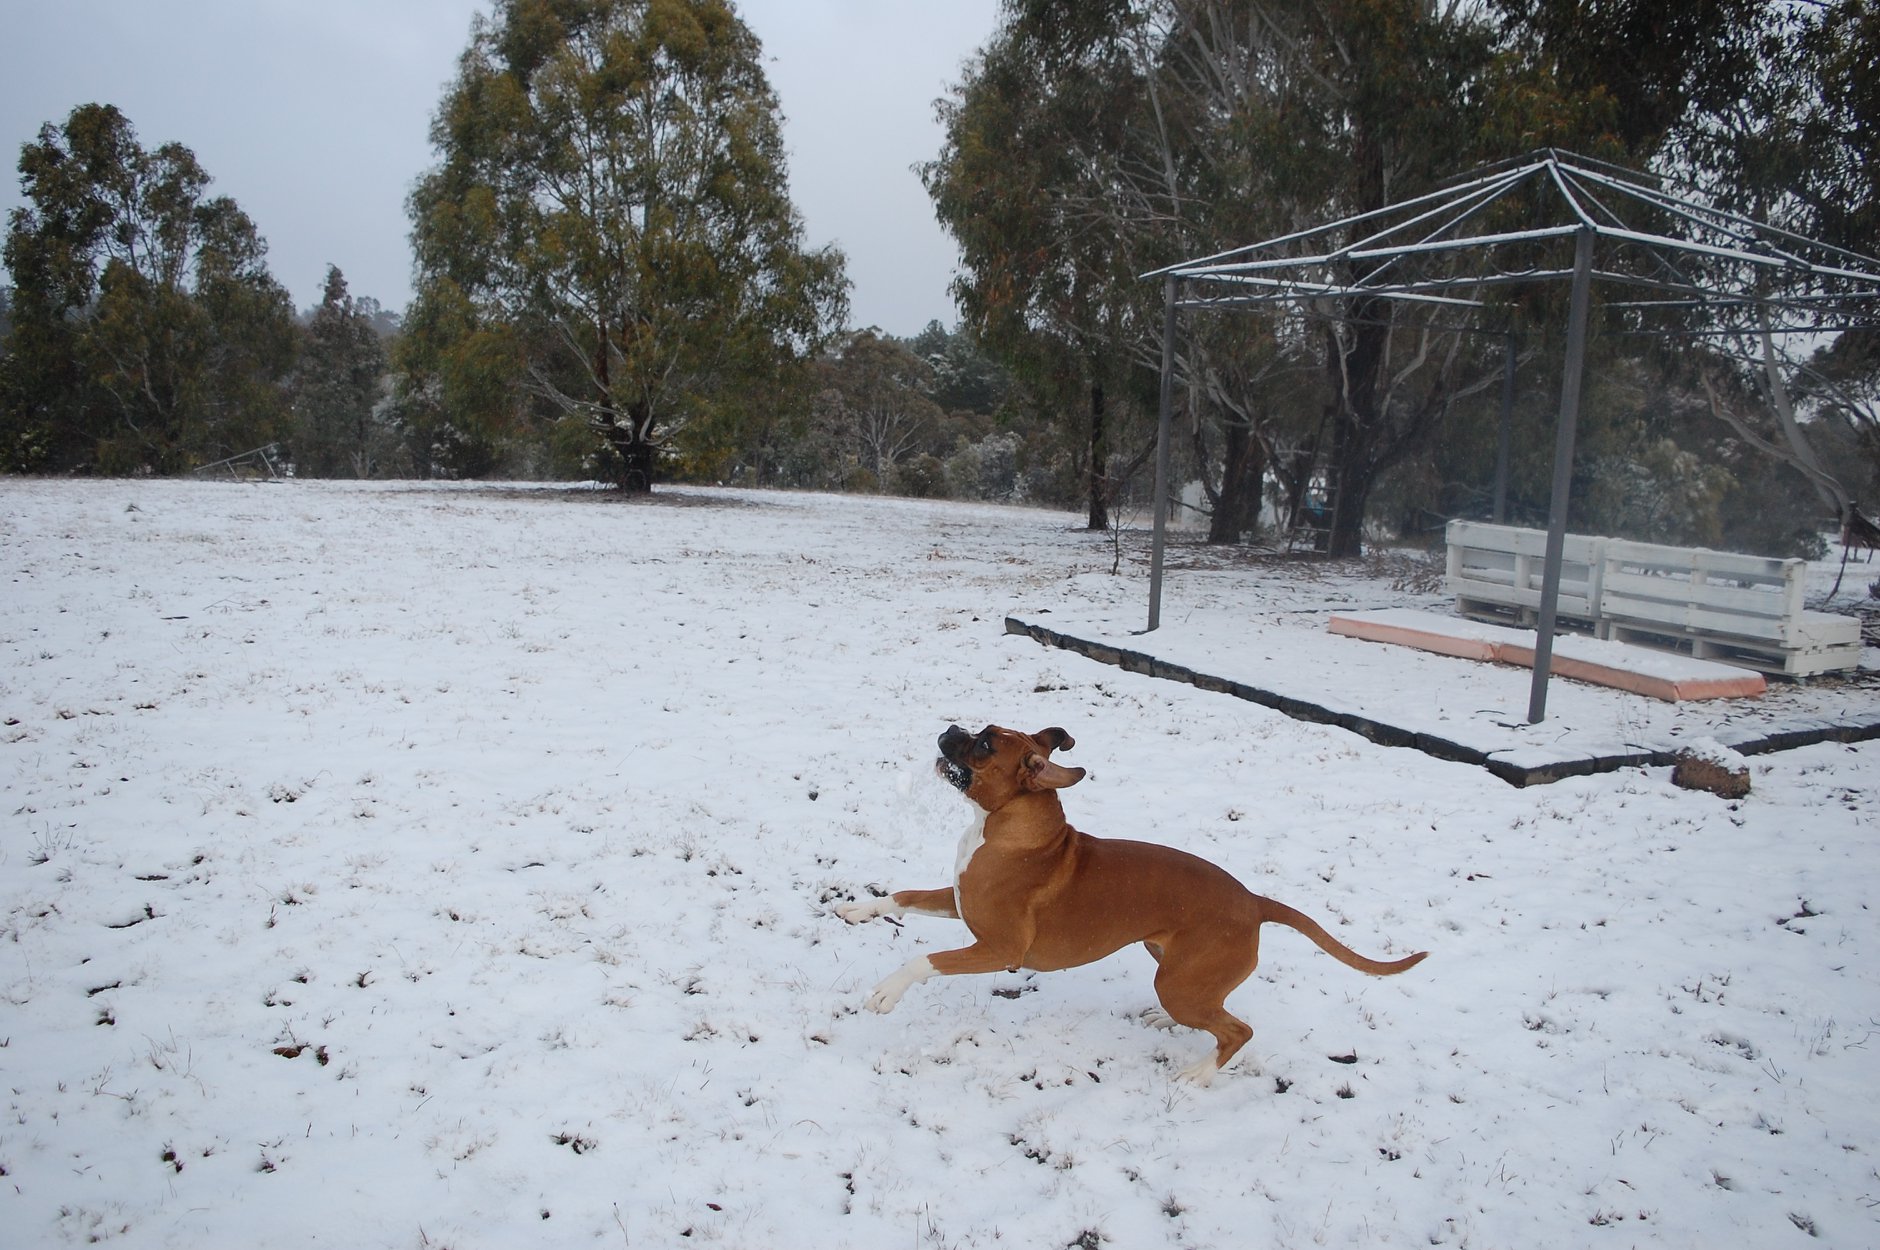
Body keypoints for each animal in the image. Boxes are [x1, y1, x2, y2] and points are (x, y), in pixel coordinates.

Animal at [838, 721, 1421, 1082]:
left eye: (983, 745)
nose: (952, 727)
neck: (1007, 828)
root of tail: (1255, 901)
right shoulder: (958, 902)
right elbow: (904, 895)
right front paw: (858, 909)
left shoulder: (1000, 949)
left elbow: (924, 959)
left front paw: (887, 992)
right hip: (1171, 965)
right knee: (1214, 1014)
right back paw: (1168, 1025)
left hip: (1179, 981)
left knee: (1237, 1030)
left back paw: (1196, 1077)